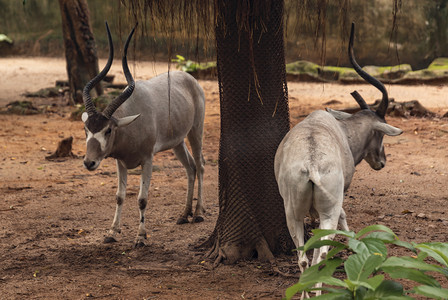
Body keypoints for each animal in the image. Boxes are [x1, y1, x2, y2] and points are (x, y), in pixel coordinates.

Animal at [81, 22, 206, 248]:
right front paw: (112, 232)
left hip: (196, 130)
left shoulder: (147, 160)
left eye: (108, 130)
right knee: (190, 167)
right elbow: (119, 196)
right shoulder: (120, 162)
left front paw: (140, 237)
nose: (89, 162)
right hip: (177, 142)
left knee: (200, 164)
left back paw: (199, 213)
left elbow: (142, 199)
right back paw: (184, 215)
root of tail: (190, 79)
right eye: (86, 129)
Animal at [272, 22, 402, 298]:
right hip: (328, 209)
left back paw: (305, 291)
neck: (342, 129)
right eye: (379, 133)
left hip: (292, 212)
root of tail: (311, 164)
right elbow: (345, 219)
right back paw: (318, 290)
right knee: (320, 252)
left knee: (303, 256)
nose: (382, 162)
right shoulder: (342, 195)